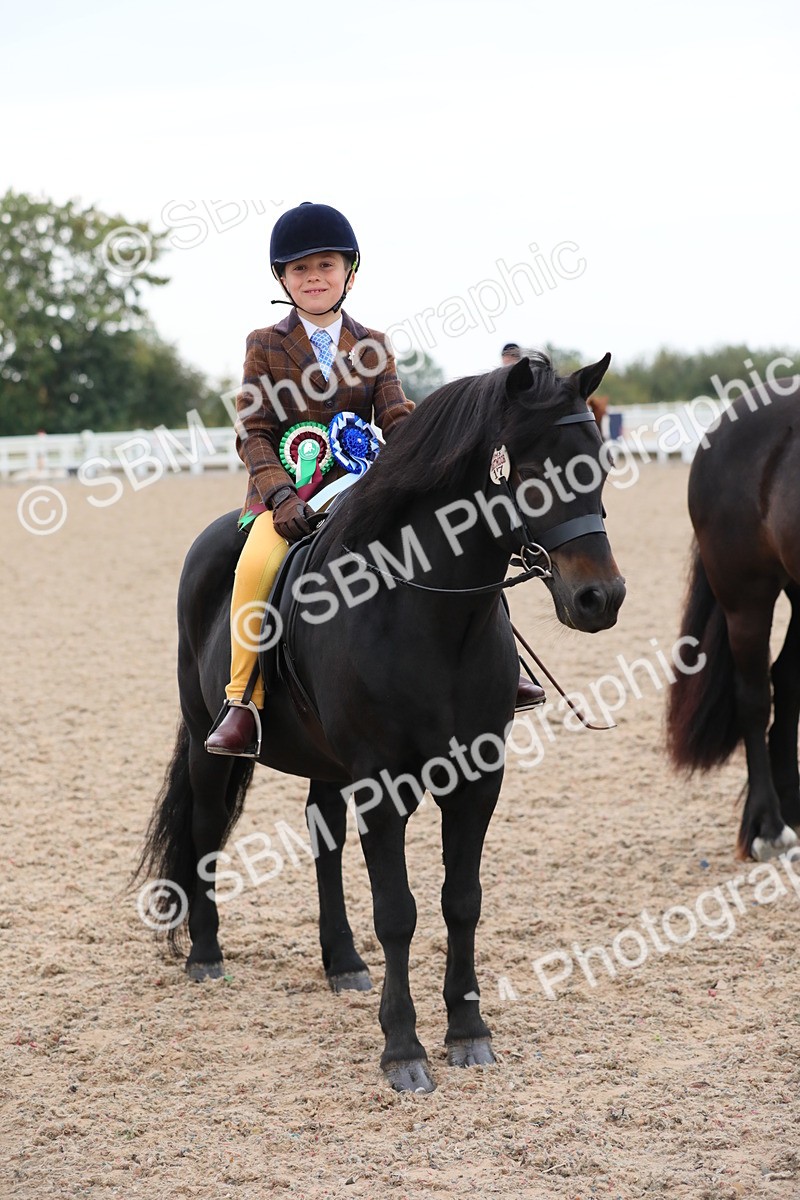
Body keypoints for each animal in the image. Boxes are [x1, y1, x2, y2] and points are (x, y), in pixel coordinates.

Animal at [137, 353, 626, 1093]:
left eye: (598, 461)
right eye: (534, 468)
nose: (601, 597)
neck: (431, 618)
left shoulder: (478, 778)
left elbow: (461, 899)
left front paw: (469, 1031)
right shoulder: (381, 784)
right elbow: (398, 912)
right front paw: (403, 1049)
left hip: (326, 763)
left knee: (324, 836)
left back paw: (342, 962)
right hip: (207, 742)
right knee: (203, 828)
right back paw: (206, 952)